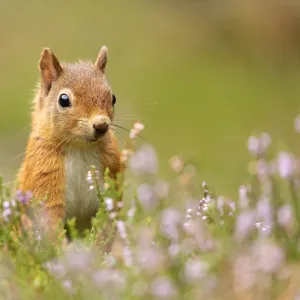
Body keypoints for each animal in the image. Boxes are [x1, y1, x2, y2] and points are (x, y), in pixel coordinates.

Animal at [16, 47, 121, 233]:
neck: (79, 148)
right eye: (63, 100)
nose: (101, 125)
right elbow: (50, 222)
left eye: (113, 98)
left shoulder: (112, 172)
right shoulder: (45, 179)